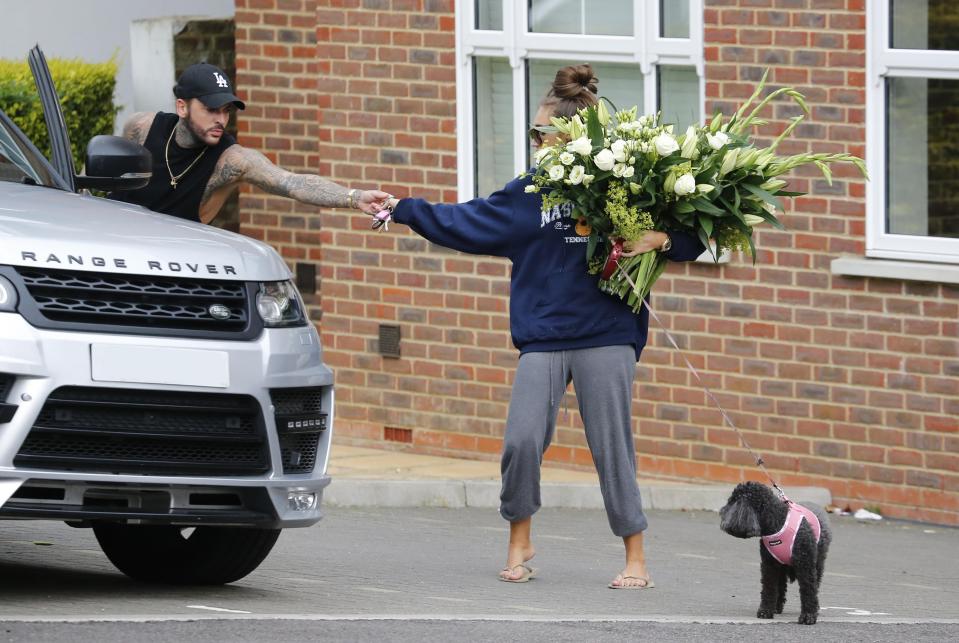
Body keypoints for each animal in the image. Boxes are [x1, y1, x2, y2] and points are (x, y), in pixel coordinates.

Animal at [720, 484, 832, 624]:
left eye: (732, 501)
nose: (721, 512)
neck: (777, 521)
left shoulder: (805, 564)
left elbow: (808, 588)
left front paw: (808, 616)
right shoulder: (770, 564)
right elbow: (769, 587)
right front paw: (766, 611)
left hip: (817, 562)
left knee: (815, 584)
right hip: (781, 565)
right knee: (781, 585)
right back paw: (776, 607)